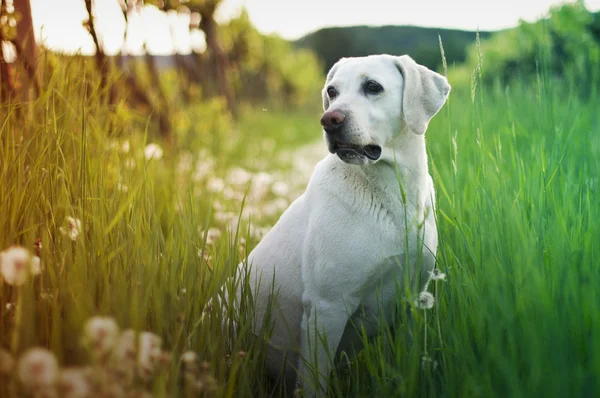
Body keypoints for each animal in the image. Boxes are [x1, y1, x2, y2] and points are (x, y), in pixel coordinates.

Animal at [234, 54, 450, 396]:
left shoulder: (412, 301)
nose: (329, 120)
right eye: (332, 92)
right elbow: (314, 383)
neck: (391, 192)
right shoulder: (327, 308)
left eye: (373, 86)